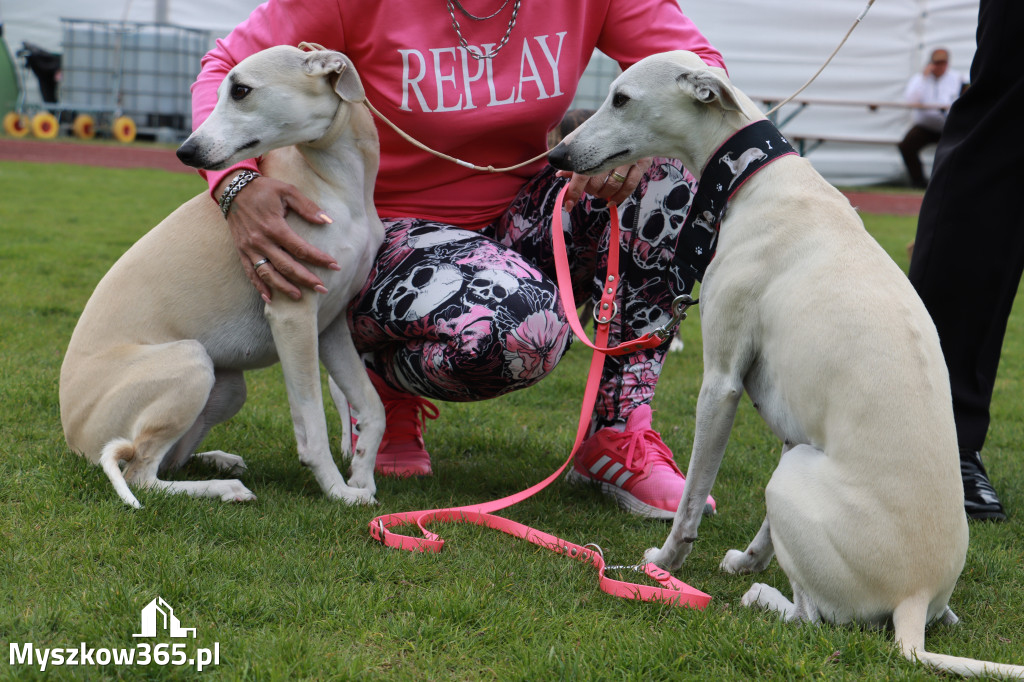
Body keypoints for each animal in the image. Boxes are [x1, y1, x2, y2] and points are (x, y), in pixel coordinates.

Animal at [60, 45, 387, 507]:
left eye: (241, 90)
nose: (185, 152)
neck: (336, 185)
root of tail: (73, 436)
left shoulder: (331, 323)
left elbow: (372, 408)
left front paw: (362, 476)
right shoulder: (293, 315)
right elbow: (312, 428)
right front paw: (339, 491)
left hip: (228, 386)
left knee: (164, 461)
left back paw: (219, 461)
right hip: (191, 362)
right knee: (141, 473)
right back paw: (225, 487)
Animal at [552, 51, 1024, 675]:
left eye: (621, 97)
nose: (557, 156)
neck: (756, 178)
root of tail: (915, 599)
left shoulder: (721, 383)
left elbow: (691, 501)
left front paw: (664, 564)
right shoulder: (790, 415)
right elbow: (766, 531)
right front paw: (743, 559)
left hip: (793, 475)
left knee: (811, 617)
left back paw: (762, 596)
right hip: (800, 463)